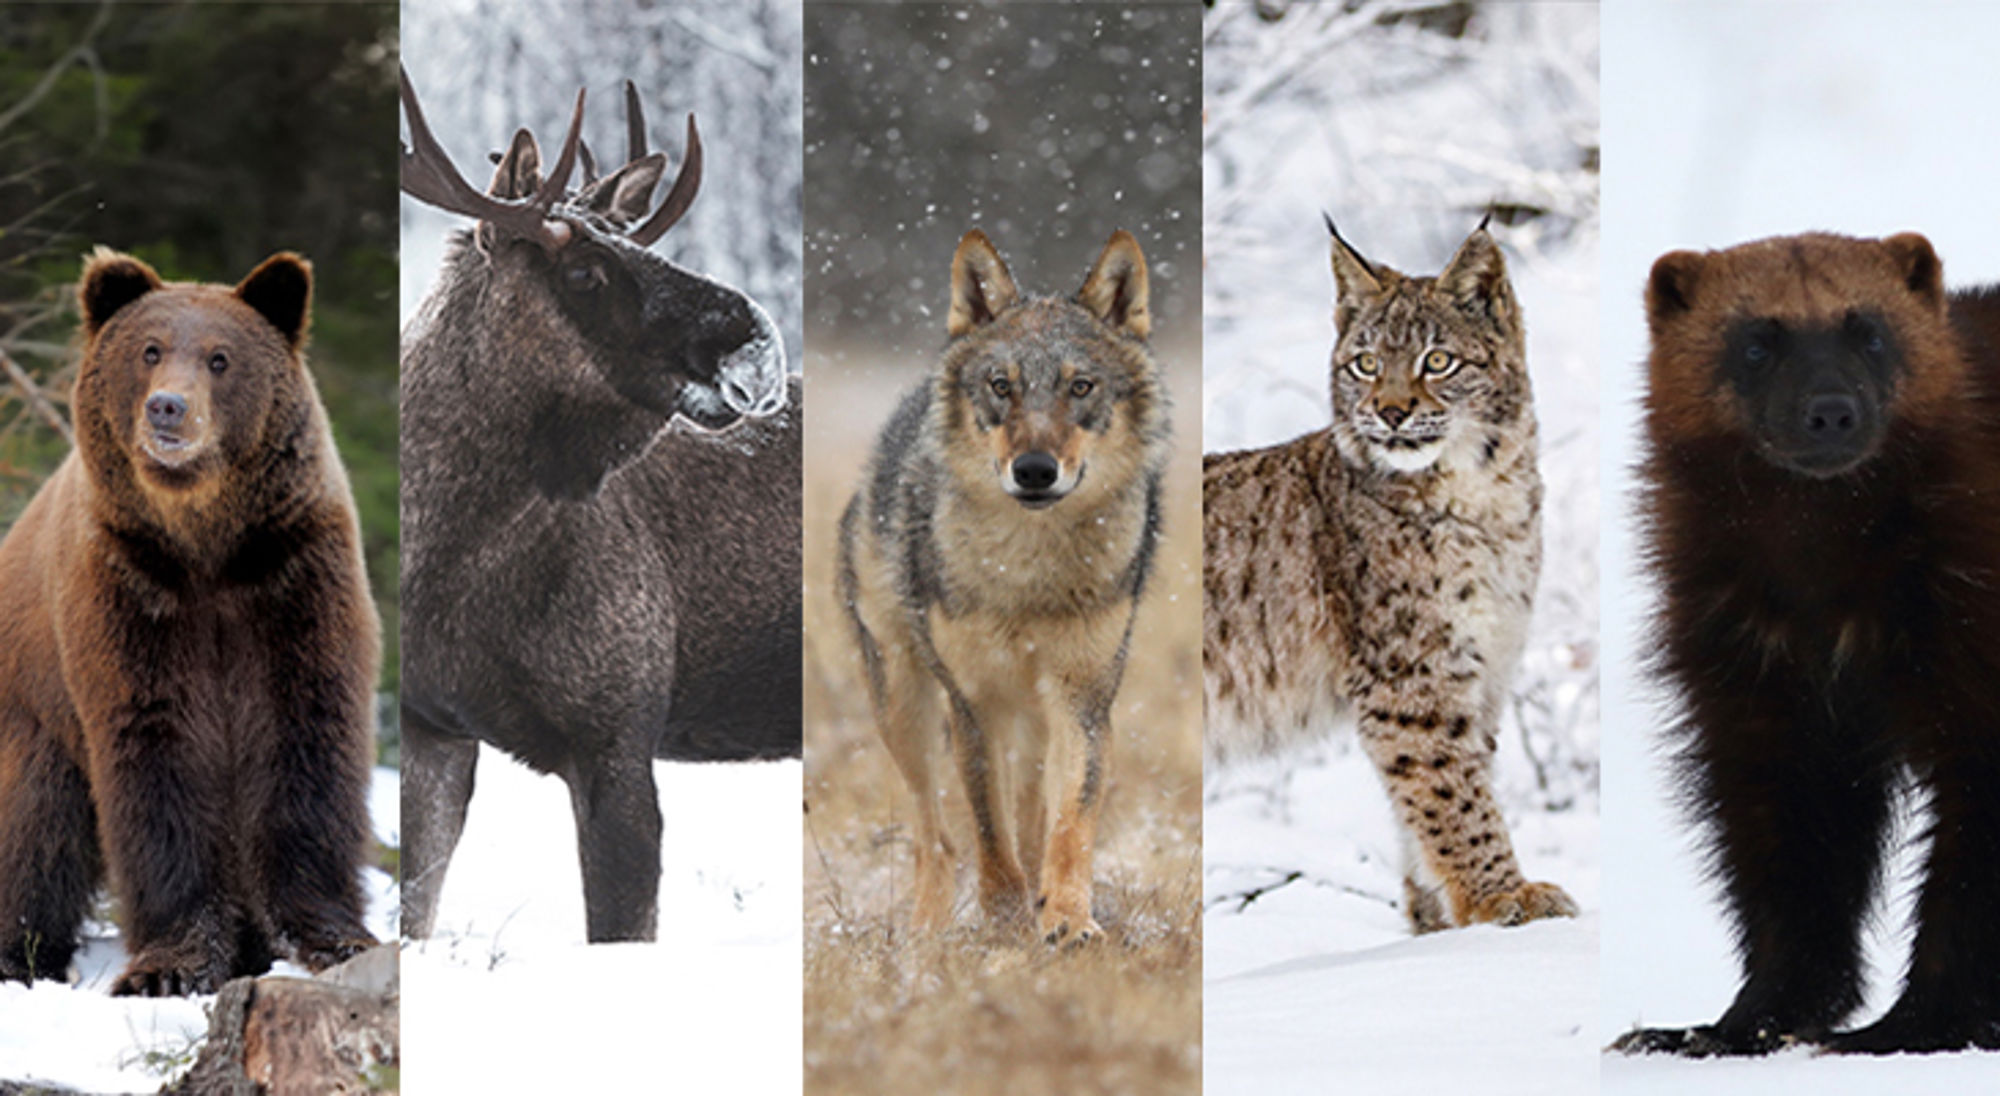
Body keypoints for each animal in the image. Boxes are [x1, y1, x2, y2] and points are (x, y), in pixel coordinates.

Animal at [837, 229, 1170, 944]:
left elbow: (1071, 822)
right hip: (901, 702)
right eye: (1000, 386)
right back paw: (926, 936)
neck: (1028, 574)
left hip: (1034, 716)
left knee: (1032, 815)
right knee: (936, 837)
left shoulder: (1083, 698)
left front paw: (1067, 919)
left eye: (1080, 387)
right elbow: (989, 833)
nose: (1035, 470)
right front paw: (1006, 917)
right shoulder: (973, 702)